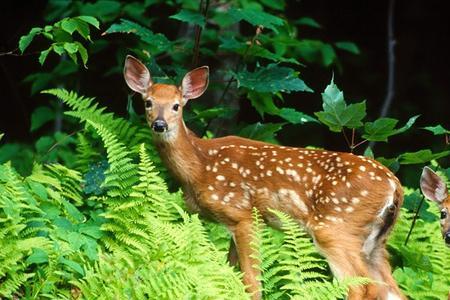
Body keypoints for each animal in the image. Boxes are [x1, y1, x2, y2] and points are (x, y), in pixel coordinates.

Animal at [122, 55, 404, 298]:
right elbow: (231, 275)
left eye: (177, 106)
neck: (200, 167)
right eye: (148, 102)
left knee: (361, 286)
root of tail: (395, 187)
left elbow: (251, 282)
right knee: (391, 290)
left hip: (335, 227)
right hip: (375, 243)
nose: (159, 124)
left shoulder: (243, 215)